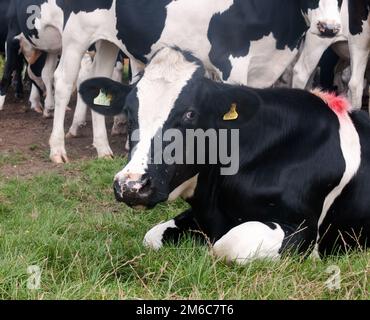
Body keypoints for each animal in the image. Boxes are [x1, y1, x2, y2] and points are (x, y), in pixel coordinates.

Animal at [10, 0, 342, 162]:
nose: (330, 28)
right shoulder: (231, 58)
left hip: (106, 41)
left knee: (98, 81)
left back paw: (102, 148)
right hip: (77, 35)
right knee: (64, 81)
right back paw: (57, 149)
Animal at [81, 47, 370, 262]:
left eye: (190, 114)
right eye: (129, 112)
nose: (131, 185)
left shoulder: (302, 230)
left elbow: (226, 245)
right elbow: (151, 236)